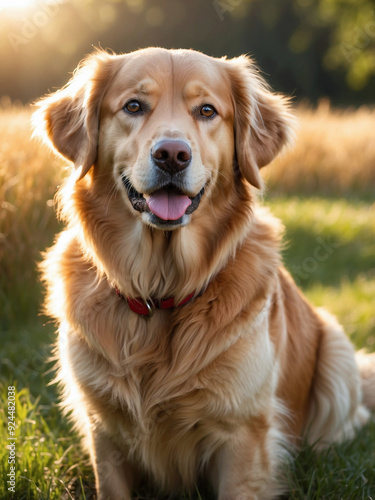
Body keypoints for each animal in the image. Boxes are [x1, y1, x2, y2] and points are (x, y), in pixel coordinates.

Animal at [33, 47, 374, 500]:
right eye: (134, 106)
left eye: (207, 110)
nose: (172, 155)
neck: (160, 291)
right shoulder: (103, 429)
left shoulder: (242, 434)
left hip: (335, 353)